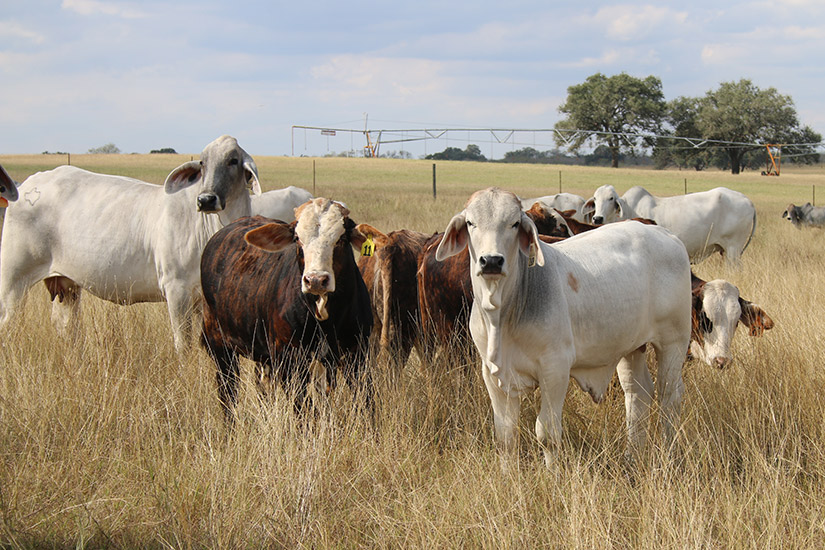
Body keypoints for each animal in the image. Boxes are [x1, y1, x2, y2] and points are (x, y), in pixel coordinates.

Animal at [0, 134, 260, 352]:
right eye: (203, 162)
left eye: (233, 160)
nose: (205, 199)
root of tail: (26, 186)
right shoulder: (177, 289)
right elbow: (183, 345)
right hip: (13, 280)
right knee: (8, 321)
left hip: (66, 285)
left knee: (65, 325)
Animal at [200, 201, 370, 420]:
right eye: (297, 238)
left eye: (341, 238)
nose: (316, 280)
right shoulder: (291, 363)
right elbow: (306, 413)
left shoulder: (357, 356)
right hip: (219, 346)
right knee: (228, 394)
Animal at [434, 188, 692, 464]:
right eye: (471, 223)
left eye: (514, 223)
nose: (491, 261)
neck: (503, 316)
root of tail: (668, 236)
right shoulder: (492, 374)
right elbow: (505, 436)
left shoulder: (555, 370)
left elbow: (546, 433)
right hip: (633, 347)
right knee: (638, 393)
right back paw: (631, 456)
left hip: (673, 343)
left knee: (669, 396)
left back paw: (669, 454)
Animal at [584, 185, 756, 266]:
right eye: (595, 198)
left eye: (611, 198)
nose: (597, 218)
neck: (628, 209)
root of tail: (748, 201)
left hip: (733, 250)